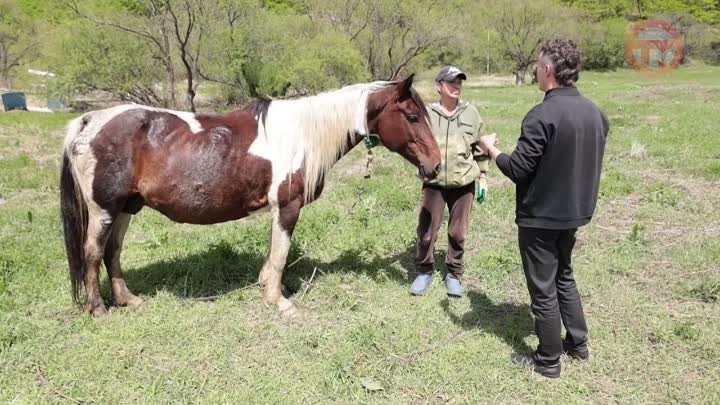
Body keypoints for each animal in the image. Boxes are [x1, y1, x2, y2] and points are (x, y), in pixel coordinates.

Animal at [59, 75, 442, 316]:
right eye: (412, 115)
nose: (436, 165)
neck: (302, 135)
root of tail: (89, 120)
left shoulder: (276, 210)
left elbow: (273, 252)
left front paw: (267, 287)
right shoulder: (288, 206)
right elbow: (281, 253)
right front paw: (279, 301)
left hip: (127, 207)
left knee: (113, 252)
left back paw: (127, 300)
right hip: (105, 209)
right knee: (93, 253)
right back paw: (98, 309)